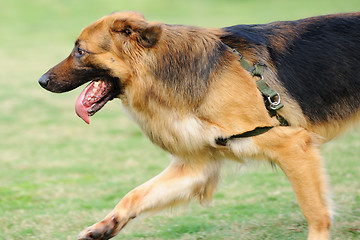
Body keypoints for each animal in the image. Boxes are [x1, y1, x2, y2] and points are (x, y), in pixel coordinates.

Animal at [38, 11, 360, 240]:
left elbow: (316, 213)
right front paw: (105, 226)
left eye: (80, 51)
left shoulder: (293, 146)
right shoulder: (196, 165)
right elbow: (136, 194)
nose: (41, 80)